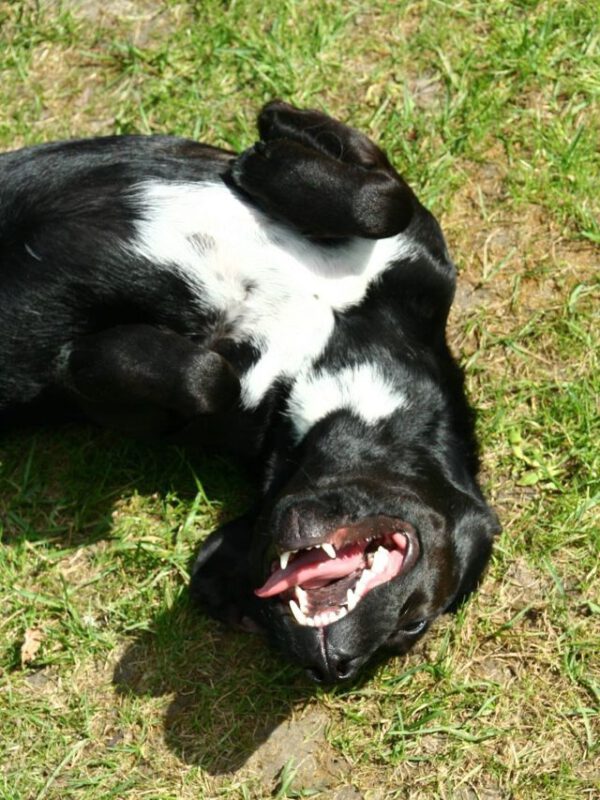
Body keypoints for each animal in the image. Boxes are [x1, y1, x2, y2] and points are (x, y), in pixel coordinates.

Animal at [0, 101, 499, 683]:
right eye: (415, 623)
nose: (337, 670)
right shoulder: (421, 256)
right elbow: (385, 196)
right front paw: (273, 138)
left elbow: (202, 379)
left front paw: (83, 354)